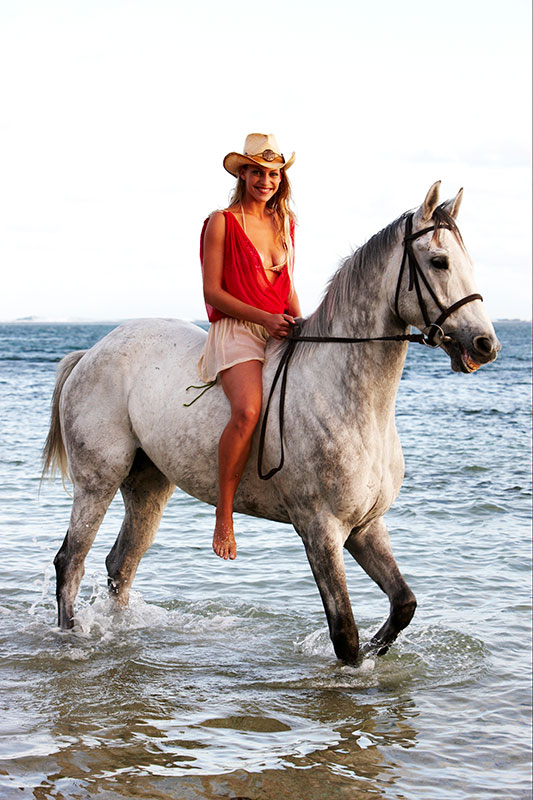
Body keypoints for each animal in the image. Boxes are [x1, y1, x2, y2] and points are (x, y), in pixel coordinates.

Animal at [42, 182, 500, 664]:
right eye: (439, 261)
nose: (485, 345)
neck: (352, 400)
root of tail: (91, 352)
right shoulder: (320, 530)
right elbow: (344, 634)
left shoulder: (365, 527)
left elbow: (403, 603)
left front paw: (378, 652)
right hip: (97, 481)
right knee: (71, 560)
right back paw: (71, 639)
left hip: (148, 485)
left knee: (121, 564)